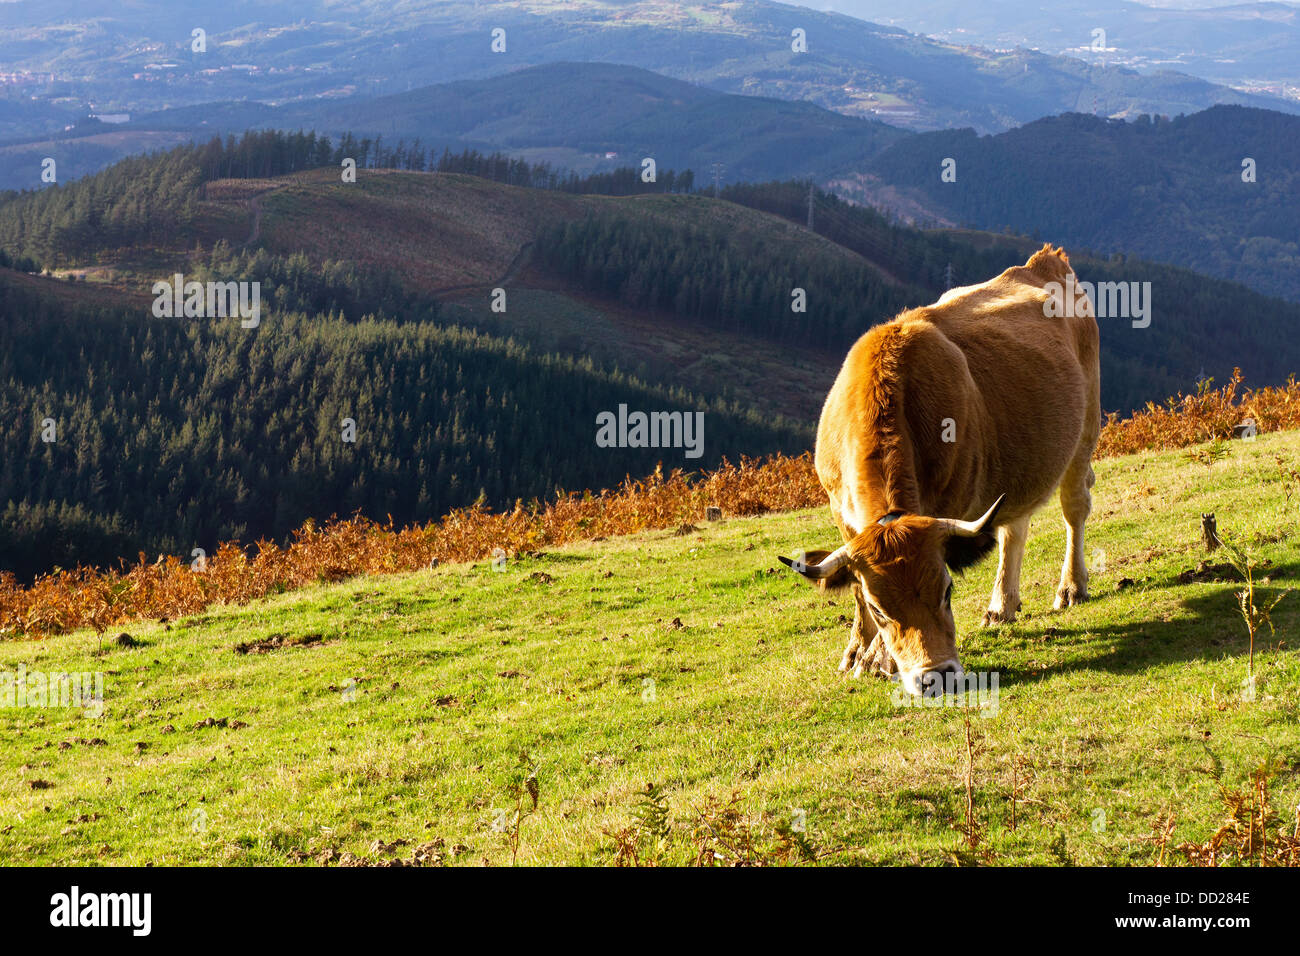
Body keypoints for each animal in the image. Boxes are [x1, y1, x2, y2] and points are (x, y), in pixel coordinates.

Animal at [780, 244, 1097, 697]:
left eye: (947, 590)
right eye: (880, 608)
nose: (938, 675)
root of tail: (1044, 261)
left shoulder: (953, 503)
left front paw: (877, 660)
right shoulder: (840, 510)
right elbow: (854, 585)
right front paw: (857, 652)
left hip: (1086, 427)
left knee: (1074, 507)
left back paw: (1071, 587)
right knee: (1014, 527)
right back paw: (1001, 606)